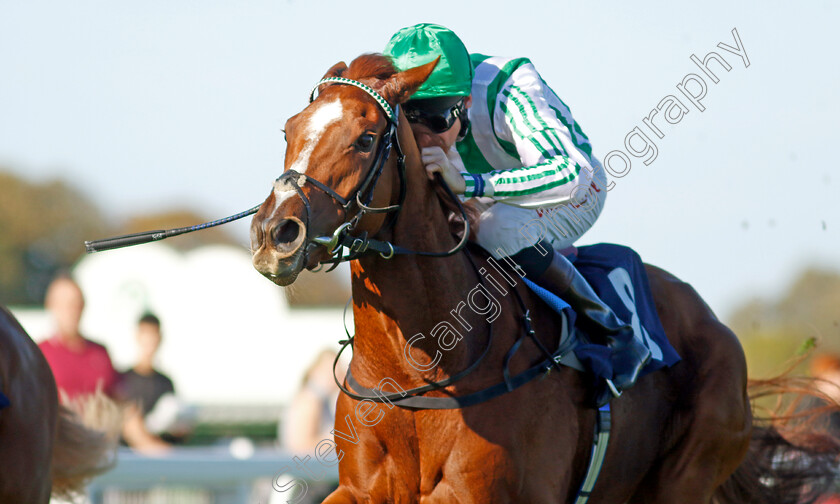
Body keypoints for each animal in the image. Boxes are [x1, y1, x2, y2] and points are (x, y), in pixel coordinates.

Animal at [251, 53, 840, 502]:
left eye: (367, 138)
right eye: (288, 130)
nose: (275, 233)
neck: (421, 367)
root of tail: (714, 323)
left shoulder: (479, 493)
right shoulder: (360, 489)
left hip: (684, 477)